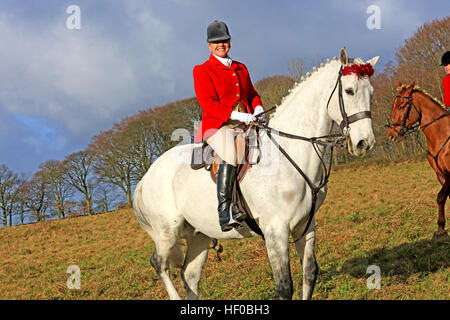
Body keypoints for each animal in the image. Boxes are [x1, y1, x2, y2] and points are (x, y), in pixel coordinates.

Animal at [134, 48, 380, 298]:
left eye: (370, 92)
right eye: (349, 91)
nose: (364, 143)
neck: (290, 151)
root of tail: (148, 175)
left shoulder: (306, 225)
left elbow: (310, 273)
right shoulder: (275, 230)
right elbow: (284, 285)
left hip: (198, 234)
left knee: (189, 276)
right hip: (167, 230)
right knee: (159, 264)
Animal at [386, 81, 450, 236]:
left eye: (402, 106)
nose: (391, 135)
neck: (441, 135)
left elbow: (441, 197)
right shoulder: (441, 175)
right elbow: (444, 197)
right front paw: (441, 227)